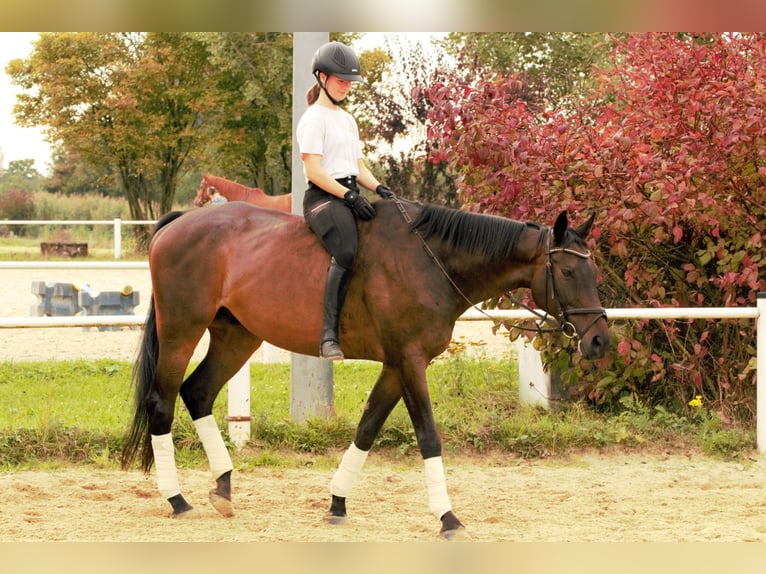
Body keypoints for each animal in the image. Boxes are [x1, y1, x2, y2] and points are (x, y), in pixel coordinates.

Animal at [120, 197, 612, 540]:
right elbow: (428, 437)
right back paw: (177, 499)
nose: (599, 341)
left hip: (236, 336)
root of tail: (180, 221)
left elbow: (367, 427)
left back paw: (222, 489)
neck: (431, 262)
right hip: (182, 330)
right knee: (162, 403)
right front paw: (448, 517)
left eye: (595, 272)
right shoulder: (410, 360)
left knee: (198, 392)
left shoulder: (397, 364)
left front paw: (337, 504)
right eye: (568, 272)